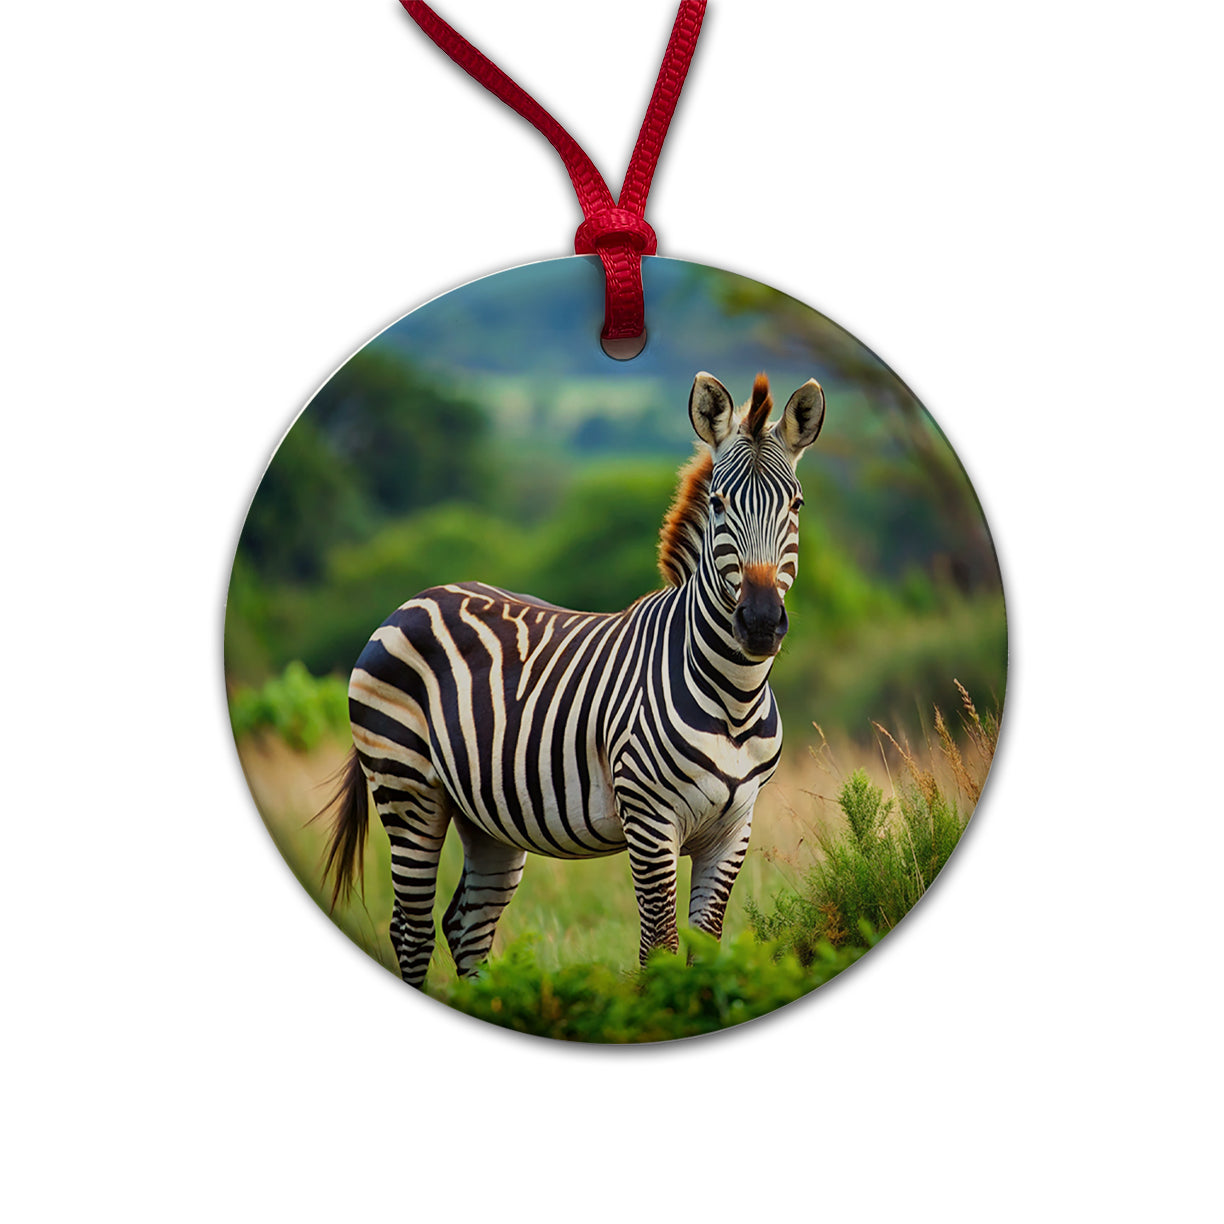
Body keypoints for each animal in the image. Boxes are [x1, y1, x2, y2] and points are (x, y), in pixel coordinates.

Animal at [322, 371, 826, 987]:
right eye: (718, 502)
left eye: (795, 504)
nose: (758, 622)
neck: (733, 695)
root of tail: (414, 599)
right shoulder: (649, 821)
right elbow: (658, 948)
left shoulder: (734, 828)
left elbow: (704, 950)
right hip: (407, 787)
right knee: (412, 931)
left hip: (485, 816)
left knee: (467, 927)